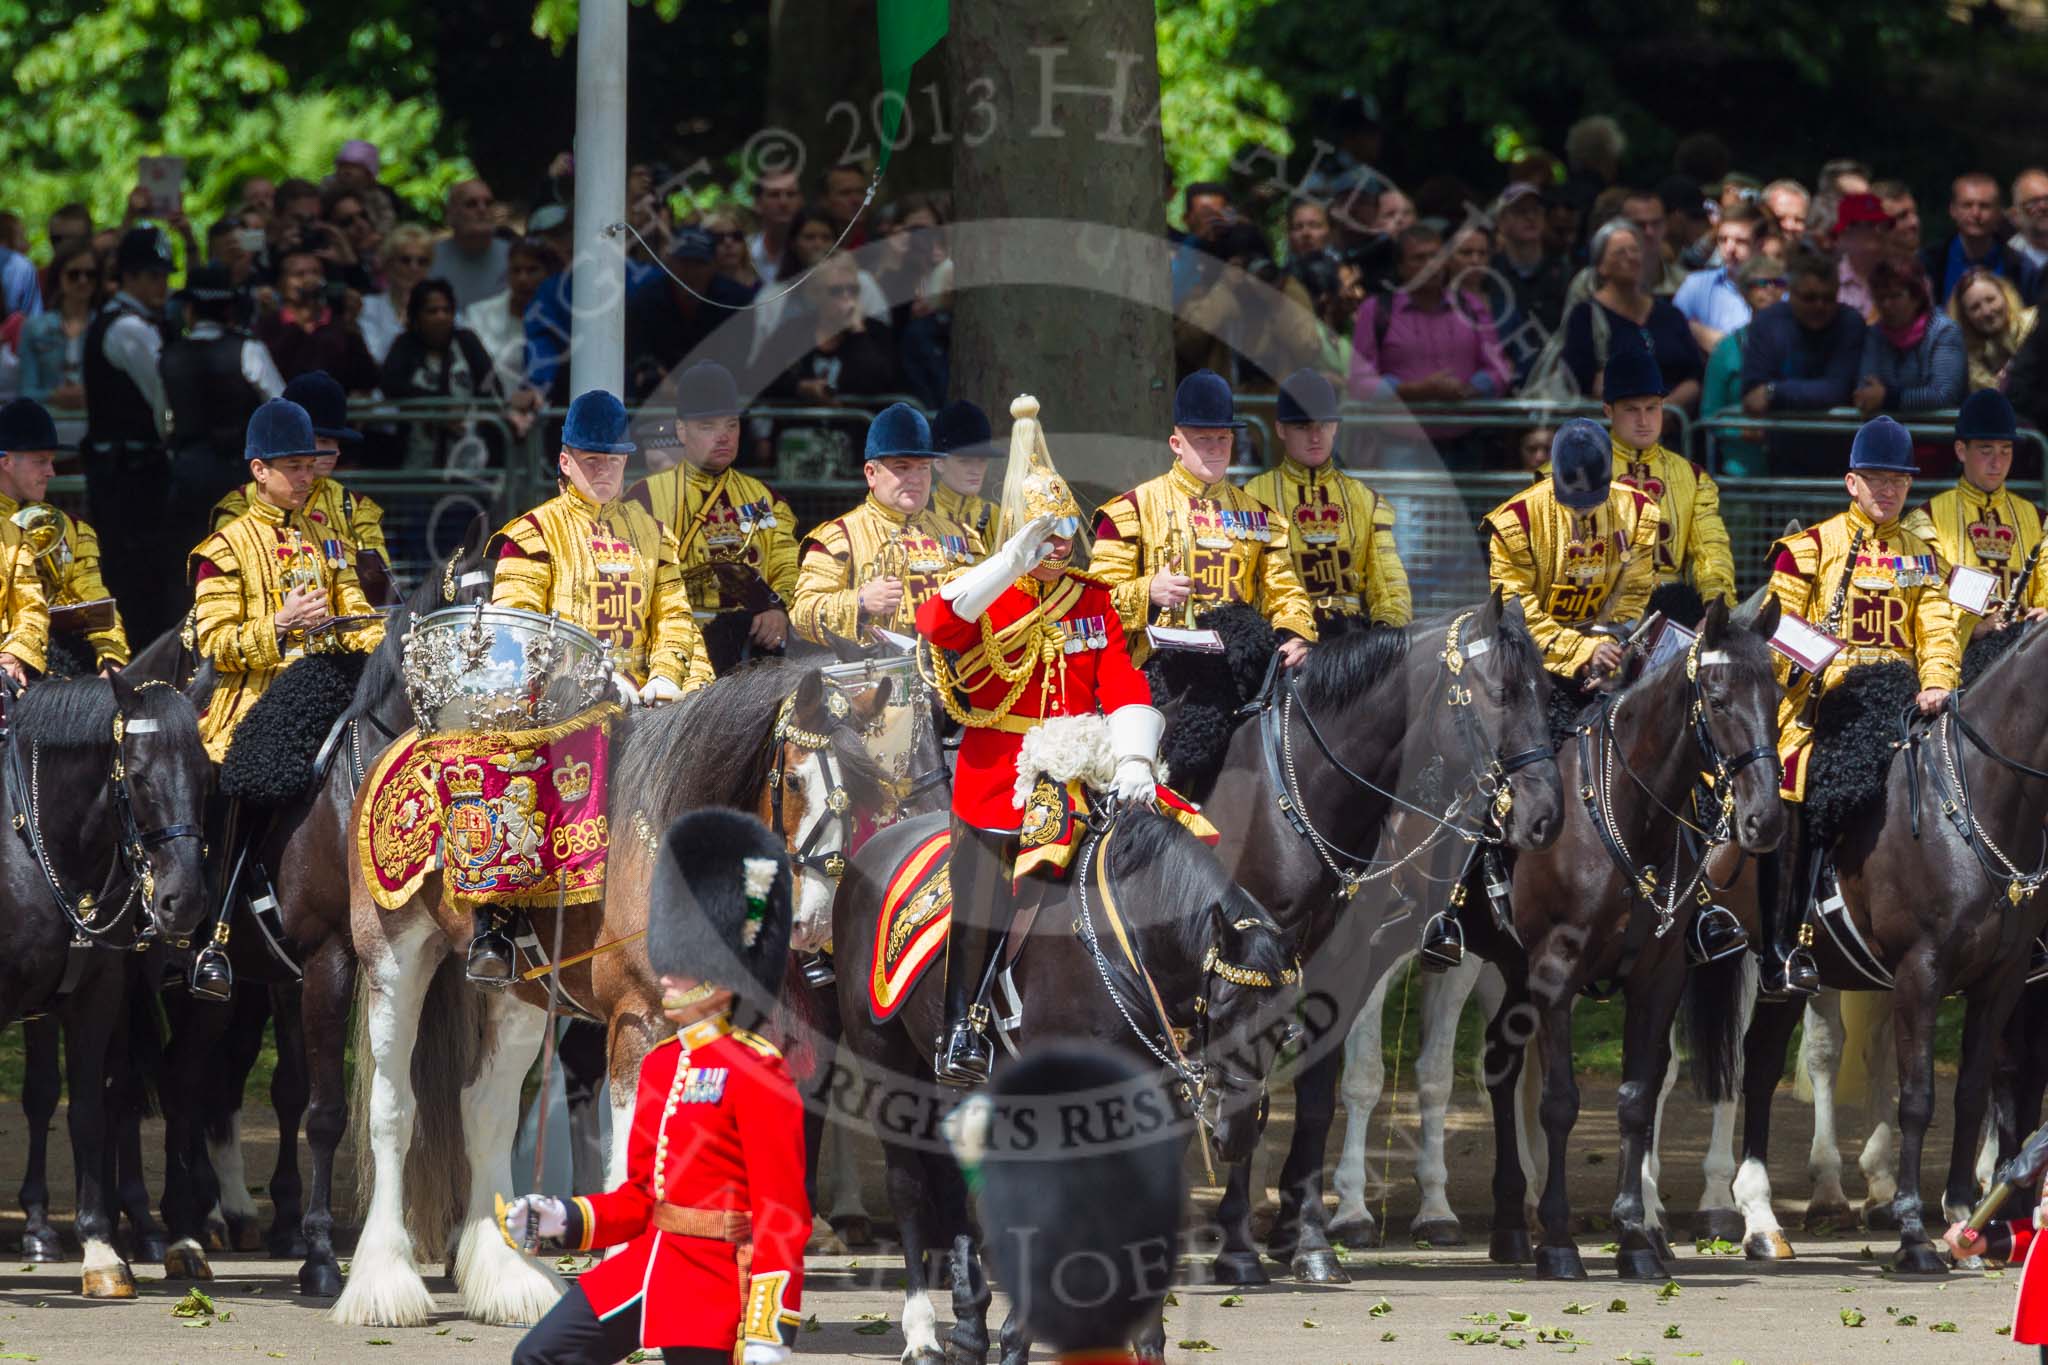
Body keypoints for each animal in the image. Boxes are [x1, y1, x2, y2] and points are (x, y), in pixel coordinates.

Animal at [0, 679, 208, 1301]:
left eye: (206, 774)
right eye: (137, 776)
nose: (184, 902)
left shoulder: (95, 997)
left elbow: (89, 1112)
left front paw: (100, 1252)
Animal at [331, 663, 892, 1326]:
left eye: (869, 795)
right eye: (798, 779)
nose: (818, 922)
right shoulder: (637, 1019)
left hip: (518, 995)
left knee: (485, 1108)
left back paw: (508, 1280)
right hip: (394, 957)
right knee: (395, 1109)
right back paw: (383, 1284)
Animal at [831, 806, 1294, 1365]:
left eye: (1284, 1026)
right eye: (1223, 1013)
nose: (1238, 1131)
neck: (1128, 948)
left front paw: (1145, 1342)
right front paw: (1018, 1337)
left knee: (950, 1176)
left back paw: (970, 1328)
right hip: (880, 1055)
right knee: (907, 1185)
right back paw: (921, 1333)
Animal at [1196, 593, 1564, 1285]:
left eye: (1546, 690)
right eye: (1501, 693)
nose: (1545, 817)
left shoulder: (1340, 964)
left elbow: (1317, 1096)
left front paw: (1310, 1240)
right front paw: (1241, 1244)